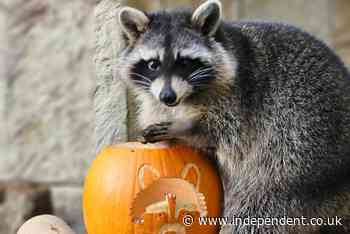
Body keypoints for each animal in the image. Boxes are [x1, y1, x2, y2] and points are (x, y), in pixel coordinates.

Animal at [117, 0, 350, 233]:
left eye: (184, 63)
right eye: (153, 64)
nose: (167, 96)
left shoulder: (241, 98)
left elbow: (221, 131)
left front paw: (184, 127)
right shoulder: (156, 102)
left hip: (301, 158)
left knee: (257, 211)